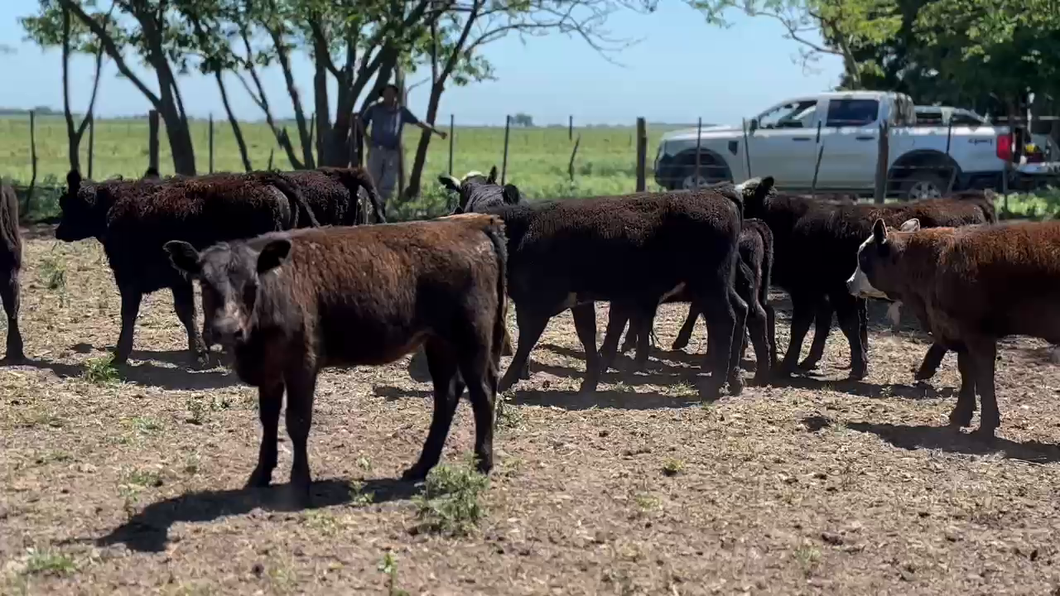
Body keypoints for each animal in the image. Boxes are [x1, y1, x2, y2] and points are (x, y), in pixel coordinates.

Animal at [164, 213, 508, 500]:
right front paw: (260, 474)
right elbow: (268, 420)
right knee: (447, 395)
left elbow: (297, 421)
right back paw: (420, 467)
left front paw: (299, 483)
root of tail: (473, 223)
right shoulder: (270, 372)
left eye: (252, 284)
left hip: (472, 339)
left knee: (482, 393)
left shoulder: (302, 364)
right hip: (439, 343)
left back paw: (482, 464)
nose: (227, 329)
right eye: (205, 282)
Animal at [847, 218, 1060, 436]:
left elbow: (984, 377)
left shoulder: (977, 334)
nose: (848, 283)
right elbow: (967, 372)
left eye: (863, 257)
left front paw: (986, 426)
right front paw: (961, 415)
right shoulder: (959, 334)